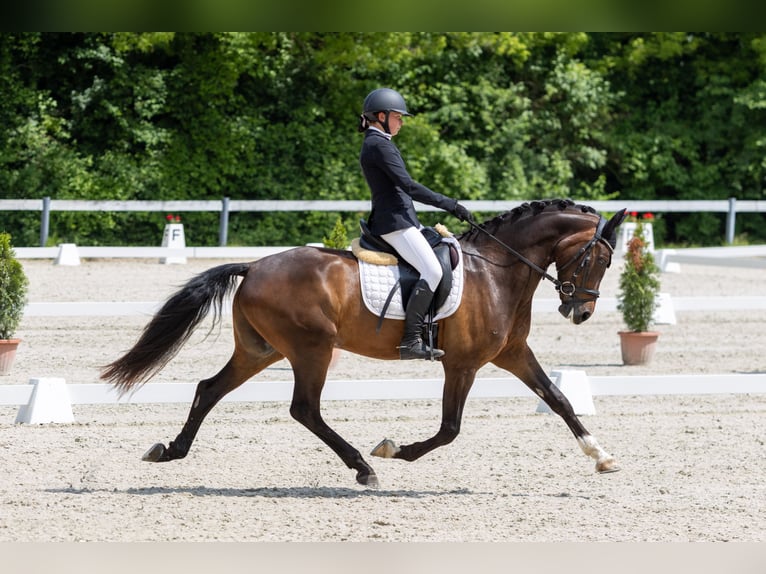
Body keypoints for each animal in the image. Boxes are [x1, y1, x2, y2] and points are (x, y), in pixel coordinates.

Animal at [102, 199, 632, 490]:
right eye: (598, 259)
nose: (580, 312)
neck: (496, 272)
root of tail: (252, 266)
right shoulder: (463, 364)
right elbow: (450, 429)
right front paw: (392, 450)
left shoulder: (512, 354)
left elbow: (559, 399)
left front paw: (602, 456)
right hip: (311, 349)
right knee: (304, 409)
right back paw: (362, 467)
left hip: (261, 350)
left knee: (209, 389)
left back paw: (170, 451)